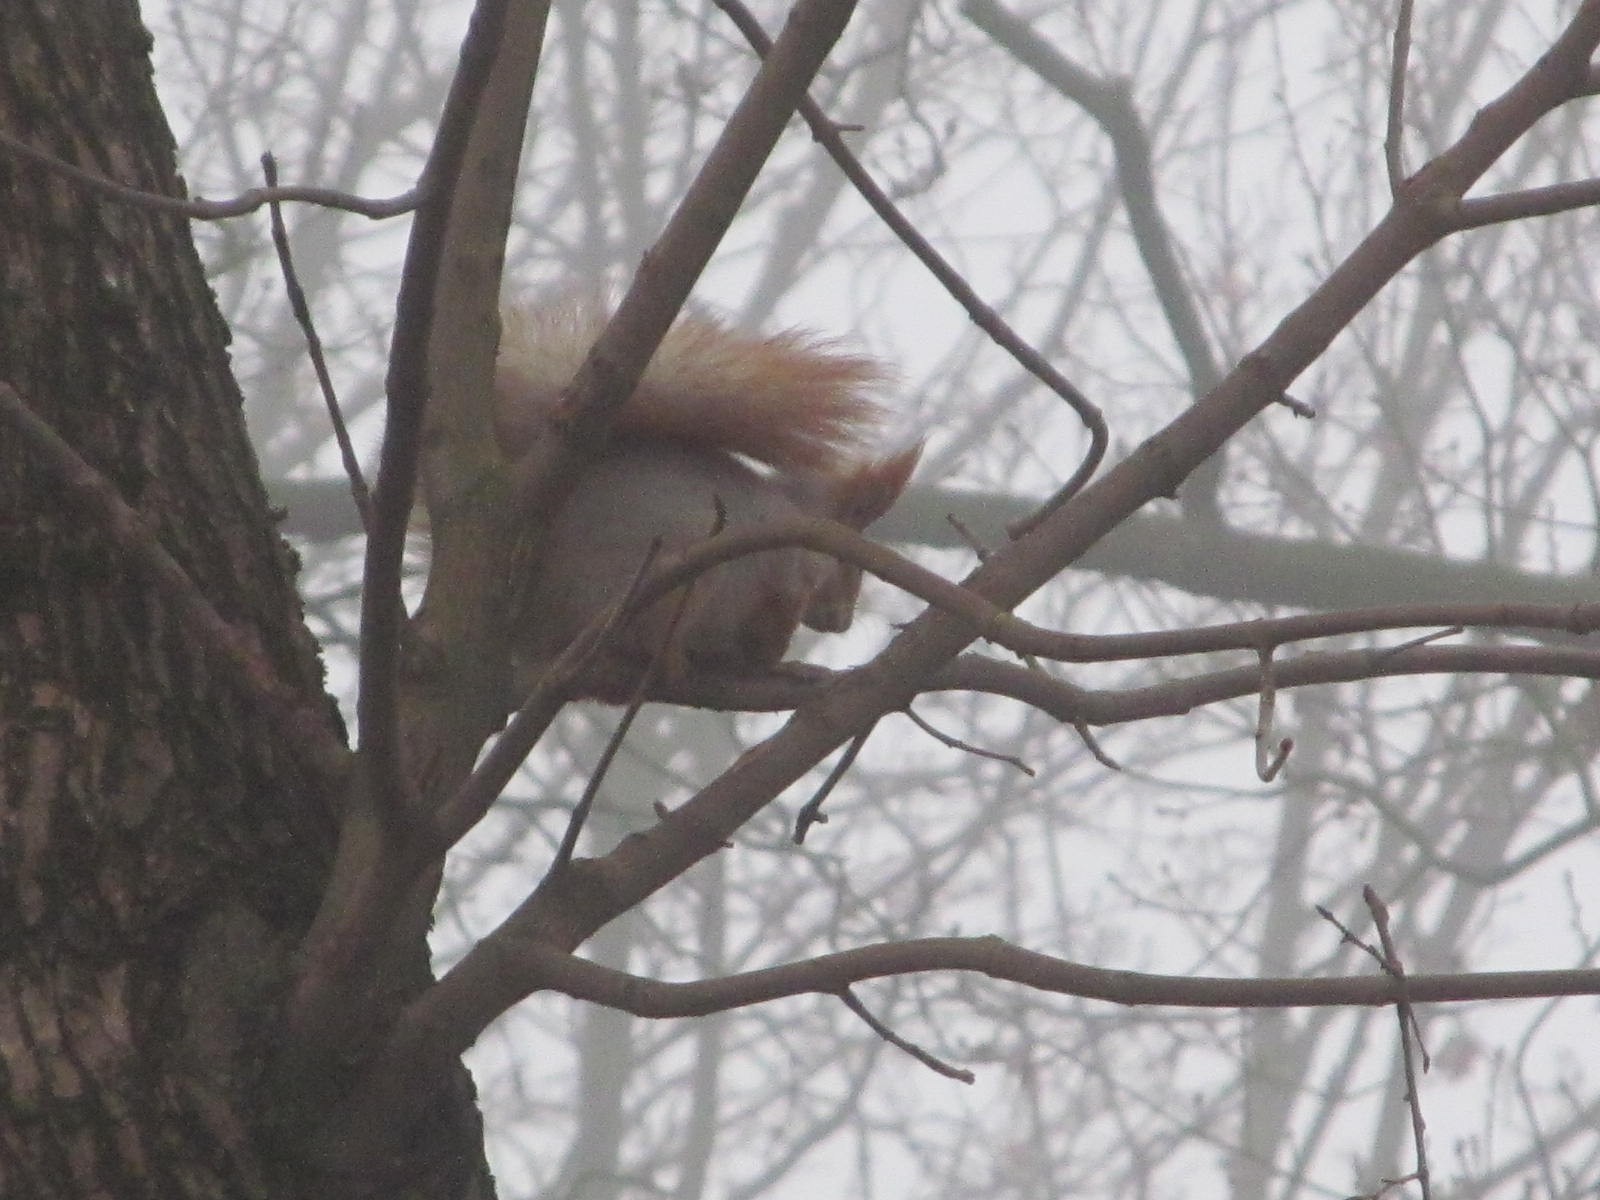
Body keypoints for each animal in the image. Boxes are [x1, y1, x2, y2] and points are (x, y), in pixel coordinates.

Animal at [496, 297, 928, 704]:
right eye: (849, 560)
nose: (842, 623)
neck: (799, 512)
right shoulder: (786, 575)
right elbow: (766, 642)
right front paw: (786, 667)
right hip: (673, 573)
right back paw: (668, 663)